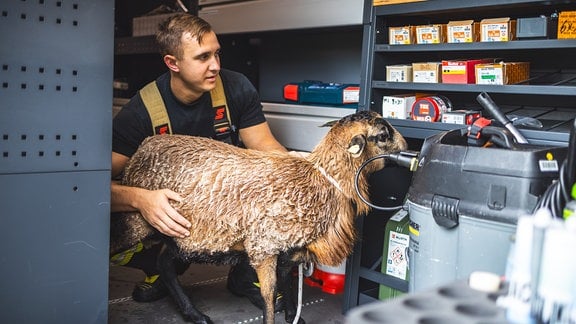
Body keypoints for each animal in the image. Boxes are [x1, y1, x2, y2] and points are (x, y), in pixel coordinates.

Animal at [110, 110, 408, 322]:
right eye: (383, 134)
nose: (408, 145)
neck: (320, 180)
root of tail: (142, 147)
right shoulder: (264, 247)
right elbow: (269, 295)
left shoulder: (289, 251)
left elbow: (288, 285)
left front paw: (294, 316)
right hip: (140, 221)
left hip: (178, 234)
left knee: (164, 264)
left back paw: (194, 314)